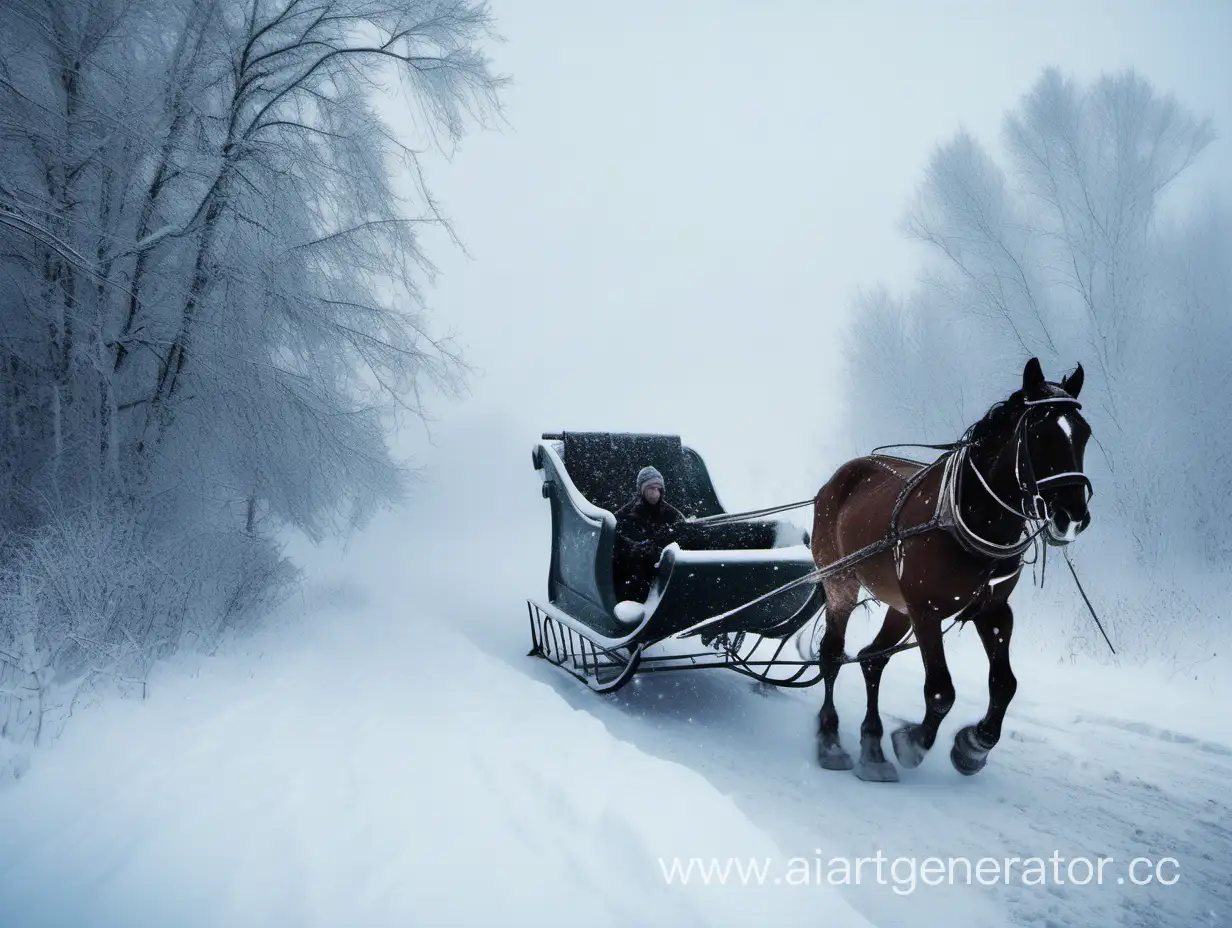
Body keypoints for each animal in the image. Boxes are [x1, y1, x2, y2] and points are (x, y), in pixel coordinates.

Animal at [813, 357, 1094, 778]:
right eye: (1040, 434)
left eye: (1084, 434)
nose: (1073, 517)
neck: (970, 518)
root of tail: (839, 477)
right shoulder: (927, 611)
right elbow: (941, 690)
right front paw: (913, 741)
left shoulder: (993, 610)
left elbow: (1004, 684)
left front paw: (974, 745)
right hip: (841, 581)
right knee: (832, 653)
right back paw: (831, 740)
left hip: (899, 607)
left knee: (871, 658)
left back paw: (872, 744)